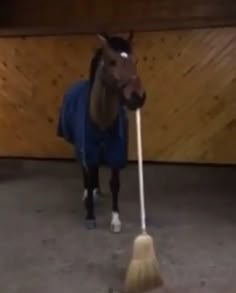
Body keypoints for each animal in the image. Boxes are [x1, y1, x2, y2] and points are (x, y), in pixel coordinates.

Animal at [56, 33, 146, 232]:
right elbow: (89, 178)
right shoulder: (88, 150)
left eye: (135, 60)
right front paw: (90, 217)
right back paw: (87, 196)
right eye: (112, 61)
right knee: (86, 173)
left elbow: (115, 184)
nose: (137, 97)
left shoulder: (115, 154)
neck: (101, 119)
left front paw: (115, 220)